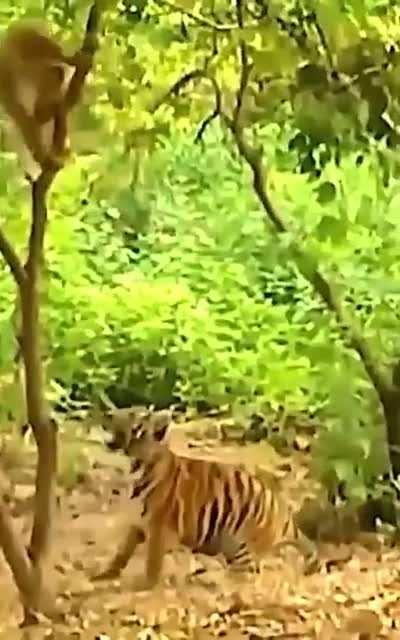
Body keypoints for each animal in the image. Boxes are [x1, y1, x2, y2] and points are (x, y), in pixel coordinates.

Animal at [94, 407, 318, 590]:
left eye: (132, 416)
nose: (108, 414)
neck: (135, 466)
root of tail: (283, 509)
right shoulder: (137, 522)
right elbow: (122, 551)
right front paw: (106, 574)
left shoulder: (159, 526)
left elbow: (153, 561)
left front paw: (145, 584)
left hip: (242, 546)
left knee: (247, 577)